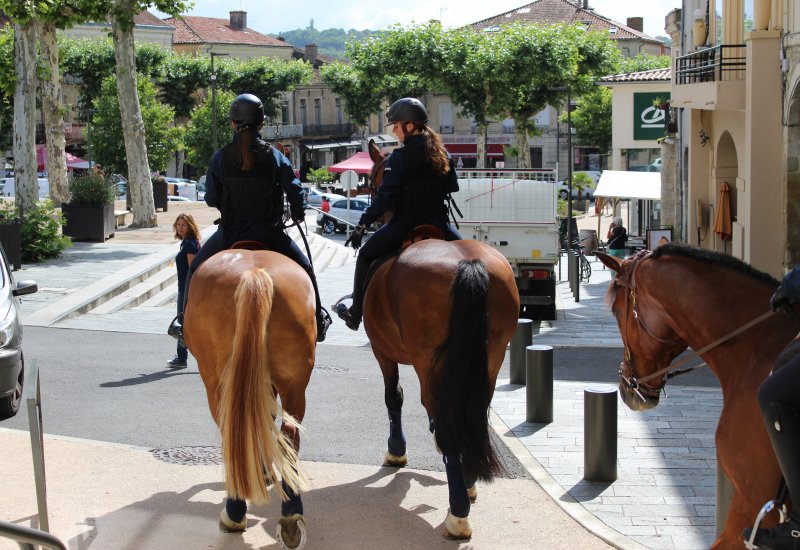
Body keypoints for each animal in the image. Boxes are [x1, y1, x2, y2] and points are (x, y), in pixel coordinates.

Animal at [185, 250, 316, 550]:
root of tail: (254, 274)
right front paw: (264, 472)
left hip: (215, 381)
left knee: (232, 432)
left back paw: (234, 510)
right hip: (294, 384)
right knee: (289, 435)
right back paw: (291, 513)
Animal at [356, 140, 520, 540]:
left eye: (374, 177)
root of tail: (469, 265)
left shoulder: (384, 352)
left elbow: (394, 397)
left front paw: (396, 451)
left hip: (428, 361)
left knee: (446, 421)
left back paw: (457, 514)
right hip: (489, 357)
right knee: (472, 412)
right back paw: (469, 482)